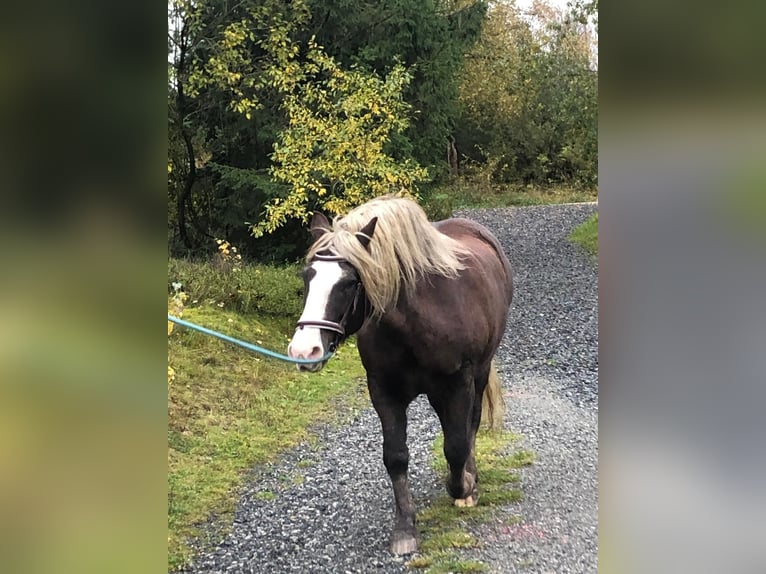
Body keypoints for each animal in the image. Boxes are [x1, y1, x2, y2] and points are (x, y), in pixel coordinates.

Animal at [287, 195, 513, 555]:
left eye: (349, 282)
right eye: (307, 276)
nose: (304, 350)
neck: (417, 322)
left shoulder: (458, 384)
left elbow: (457, 444)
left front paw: (463, 487)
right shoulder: (384, 391)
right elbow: (396, 456)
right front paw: (405, 527)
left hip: (477, 374)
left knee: (471, 425)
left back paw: (470, 481)